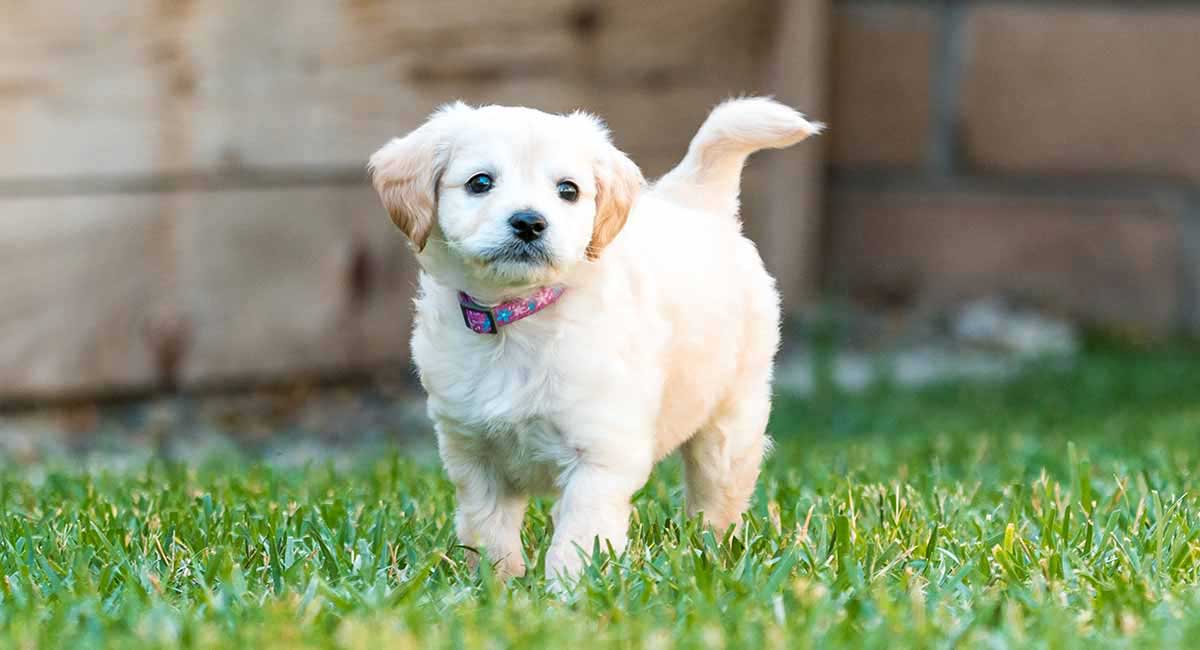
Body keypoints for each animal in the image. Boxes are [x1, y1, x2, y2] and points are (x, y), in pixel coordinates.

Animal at [369, 97, 820, 585]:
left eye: (568, 190)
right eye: (480, 183)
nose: (529, 222)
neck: (521, 317)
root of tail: (695, 199)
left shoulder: (602, 455)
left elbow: (580, 537)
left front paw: (567, 590)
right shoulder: (472, 454)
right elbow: (488, 531)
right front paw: (498, 584)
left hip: (730, 424)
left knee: (716, 498)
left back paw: (713, 552)